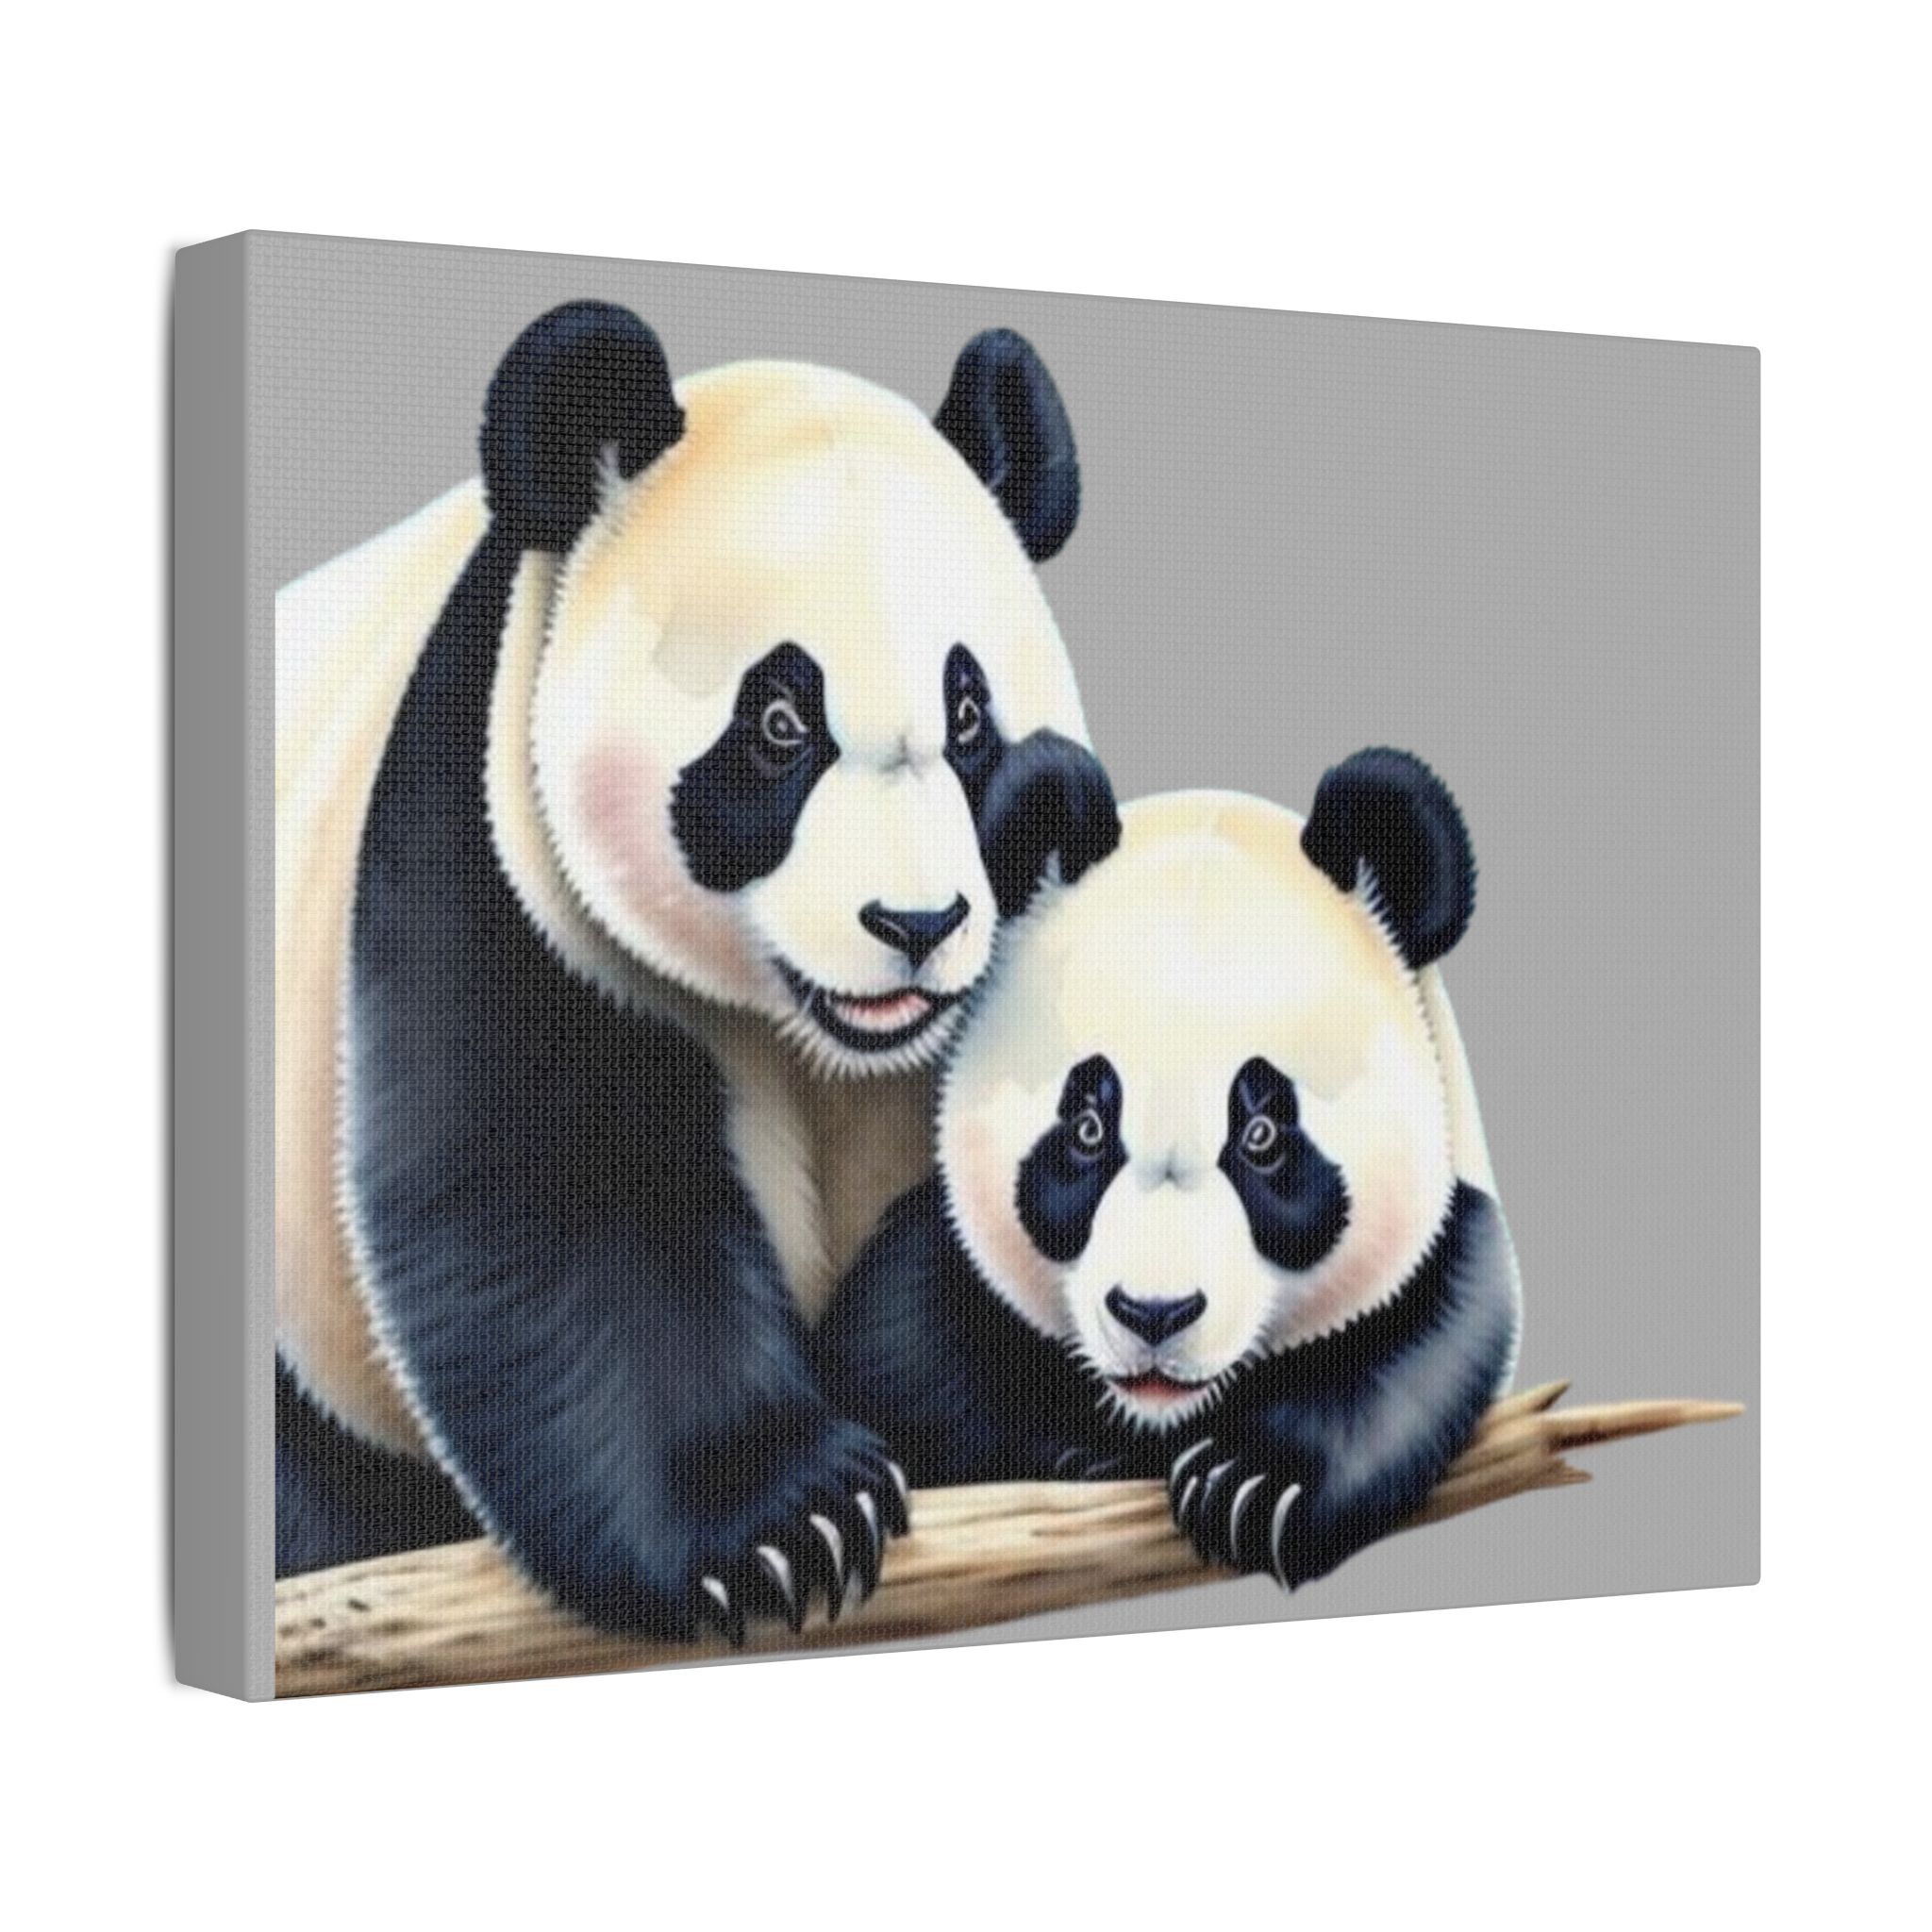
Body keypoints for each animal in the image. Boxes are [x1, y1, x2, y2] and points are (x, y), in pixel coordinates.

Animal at [274, 302, 1120, 1642]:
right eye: (777, 724)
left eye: (969, 716)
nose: (916, 922)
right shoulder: (490, 841)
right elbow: (559, 1200)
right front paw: (787, 1522)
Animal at [816, 751, 1521, 1590]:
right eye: (1088, 1130)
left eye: (1261, 1135)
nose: (1154, 1314)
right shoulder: (932, 1281)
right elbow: (901, 1357)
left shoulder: (1446, 1248)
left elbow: (1422, 1354)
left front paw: (1252, 1486)